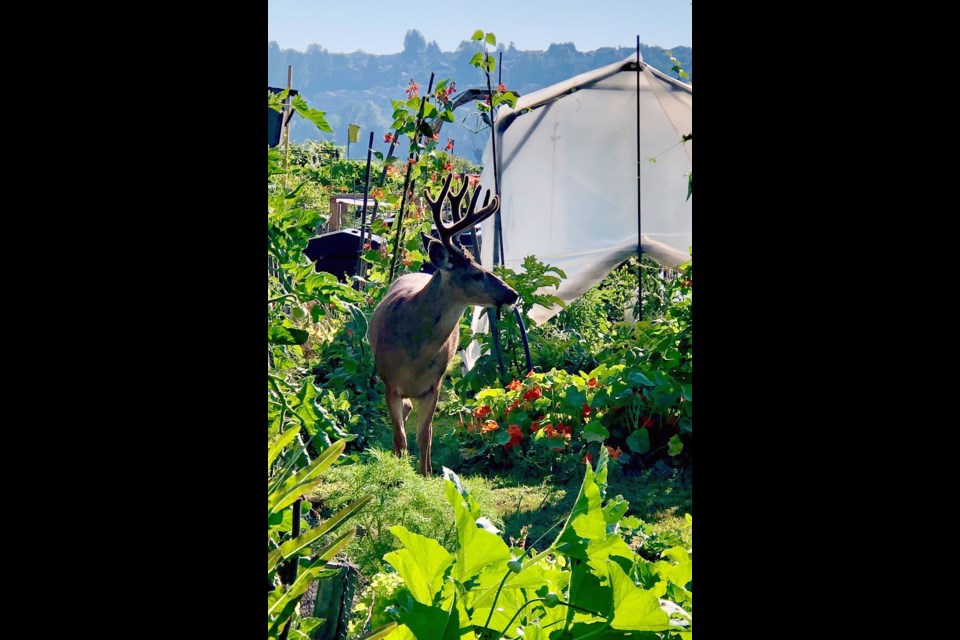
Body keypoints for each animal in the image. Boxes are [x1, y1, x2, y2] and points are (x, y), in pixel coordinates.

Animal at [368, 172, 516, 478]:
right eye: (476, 274)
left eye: (486, 268)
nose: (513, 294)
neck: (415, 352)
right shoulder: (389, 382)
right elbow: (399, 435)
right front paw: (399, 472)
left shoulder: (434, 386)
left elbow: (426, 435)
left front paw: (425, 473)